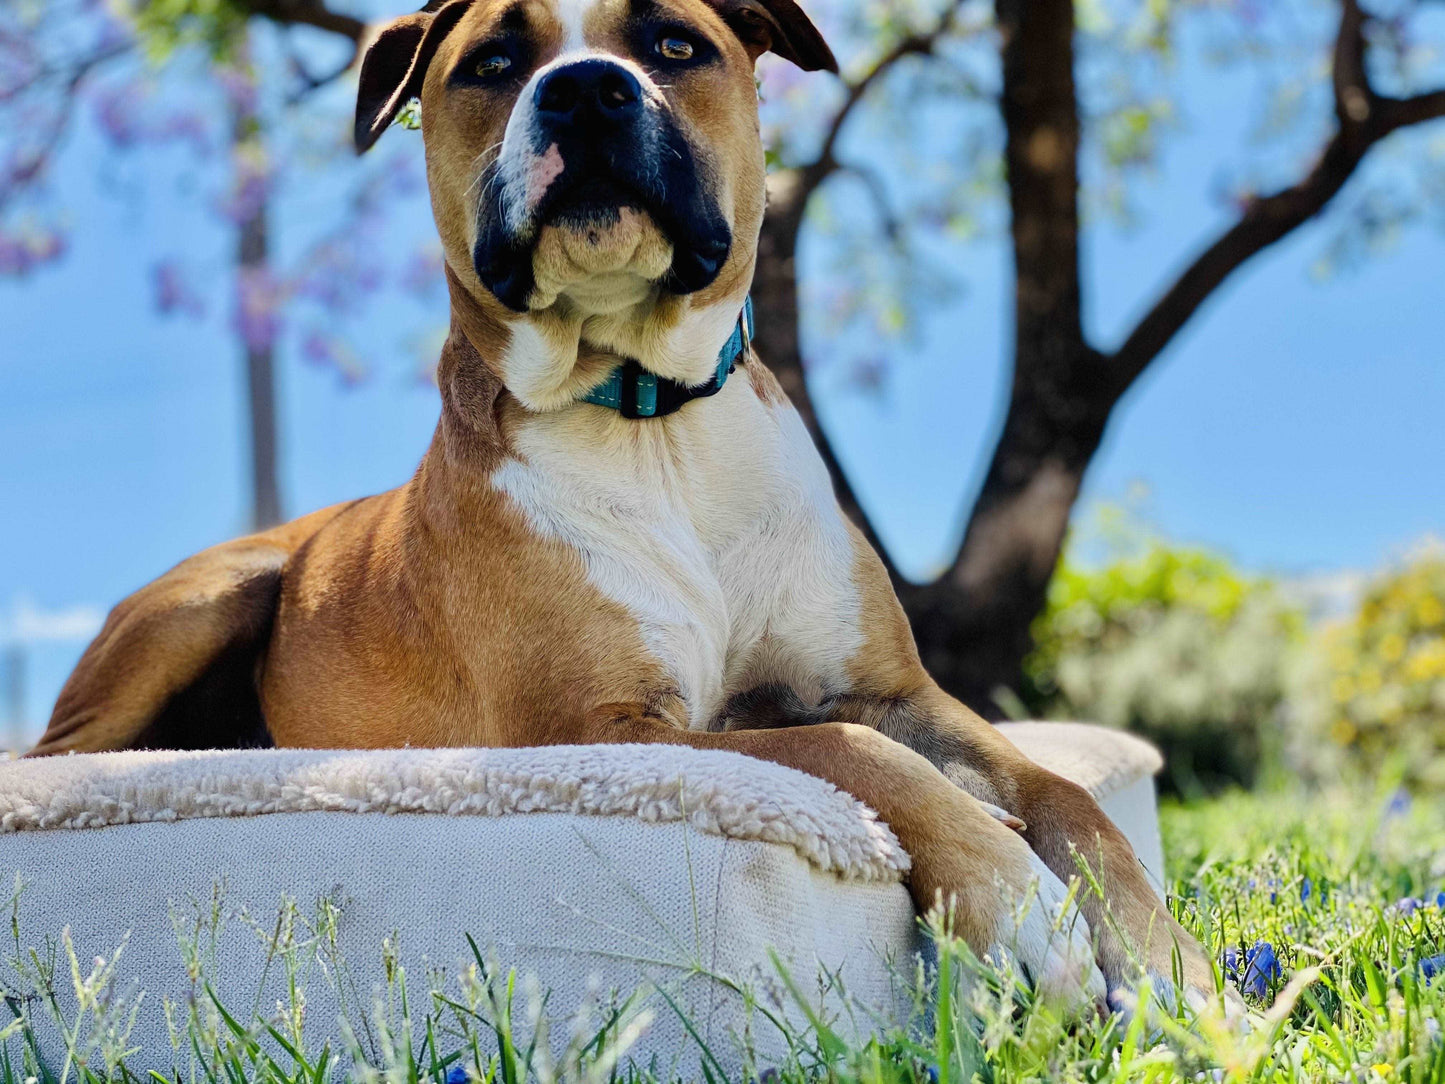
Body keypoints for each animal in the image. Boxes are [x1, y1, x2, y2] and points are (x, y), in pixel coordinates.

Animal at [28, 0, 1225, 1017]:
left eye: (673, 45)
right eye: (493, 63)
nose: (586, 91)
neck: (653, 420)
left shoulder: (892, 690)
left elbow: (1056, 788)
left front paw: (1162, 959)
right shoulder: (614, 726)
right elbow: (841, 750)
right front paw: (1014, 900)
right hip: (217, 594)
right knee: (58, 761)